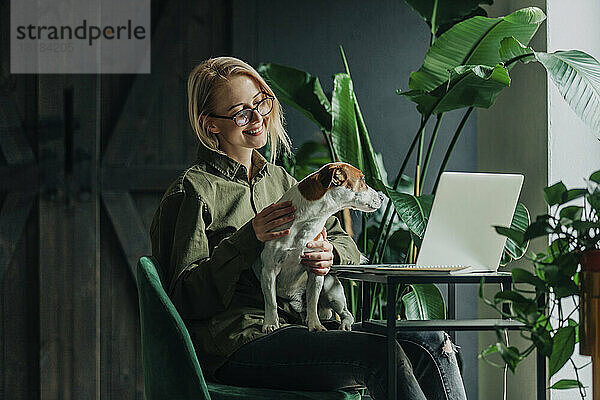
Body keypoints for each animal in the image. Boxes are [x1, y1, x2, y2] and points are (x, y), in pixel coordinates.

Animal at [251, 161, 382, 332]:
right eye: (363, 180)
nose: (382, 197)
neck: (305, 223)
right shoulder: (269, 271)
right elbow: (271, 302)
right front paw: (271, 324)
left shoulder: (316, 270)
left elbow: (312, 300)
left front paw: (315, 324)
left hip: (332, 290)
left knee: (346, 313)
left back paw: (344, 324)